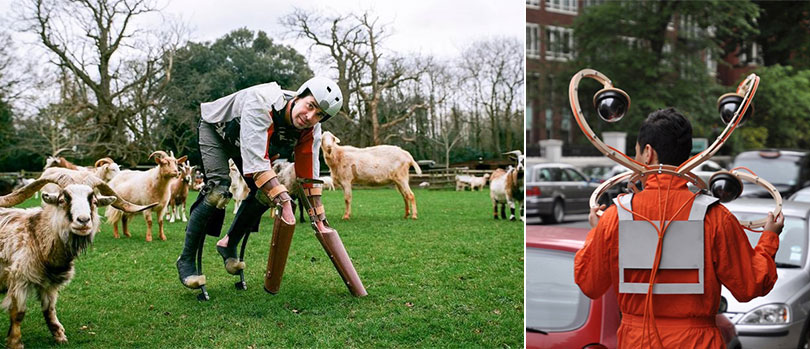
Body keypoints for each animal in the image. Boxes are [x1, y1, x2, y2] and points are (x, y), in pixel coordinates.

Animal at [0, 167, 153, 346]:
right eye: (62, 200)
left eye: (93, 201)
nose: (83, 220)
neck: (35, 236)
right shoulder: (19, 279)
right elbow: (18, 313)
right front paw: (15, 342)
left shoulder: (49, 285)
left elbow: (49, 310)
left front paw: (59, 336)